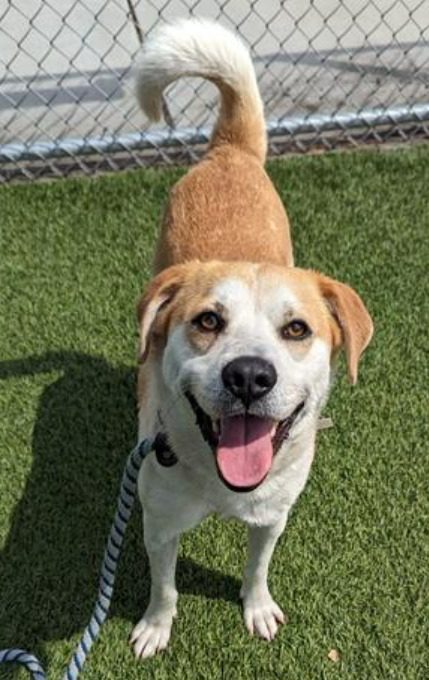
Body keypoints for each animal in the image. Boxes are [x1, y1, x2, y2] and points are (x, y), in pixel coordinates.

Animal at [129, 19, 372, 660]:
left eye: (297, 329)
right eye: (207, 321)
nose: (248, 376)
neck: (221, 482)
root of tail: (229, 151)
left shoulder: (271, 517)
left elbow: (257, 567)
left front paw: (257, 609)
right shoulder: (158, 523)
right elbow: (164, 587)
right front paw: (155, 627)